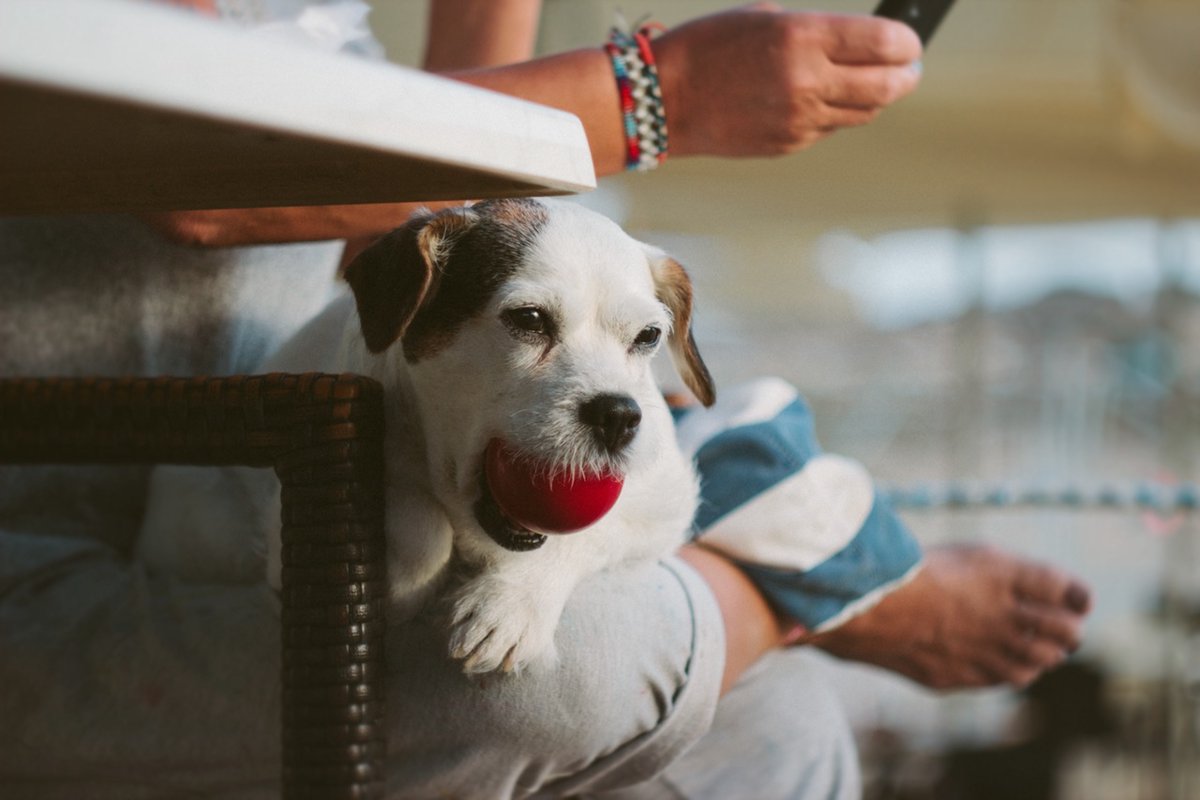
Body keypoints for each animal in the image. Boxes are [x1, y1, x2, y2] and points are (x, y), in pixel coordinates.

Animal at [133, 196, 710, 671]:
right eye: (529, 319)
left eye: (648, 336)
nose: (618, 416)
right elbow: (416, 520)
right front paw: (402, 578)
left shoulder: (664, 506)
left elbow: (589, 533)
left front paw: (512, 603)